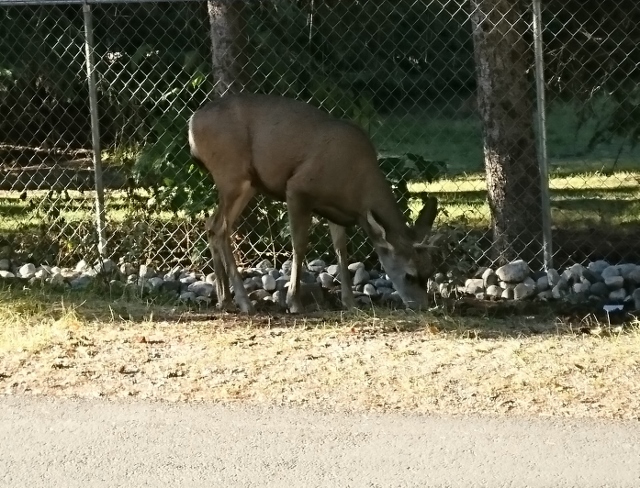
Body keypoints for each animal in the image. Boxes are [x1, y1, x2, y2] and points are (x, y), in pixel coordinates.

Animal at [188, 93, 438, 314]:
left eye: (428, 271)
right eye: (409, 274)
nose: (422, 306)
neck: (356, 185)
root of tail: (192, 123)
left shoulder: (337, 210)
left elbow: (341, 250)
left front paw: (350, 302)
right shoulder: (297, 188)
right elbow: (299, 245)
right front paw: (294, 303)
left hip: (244, 184)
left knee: (213, 225)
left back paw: (226, 301)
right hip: (232, 175)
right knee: (220, 227)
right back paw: (244, 302)